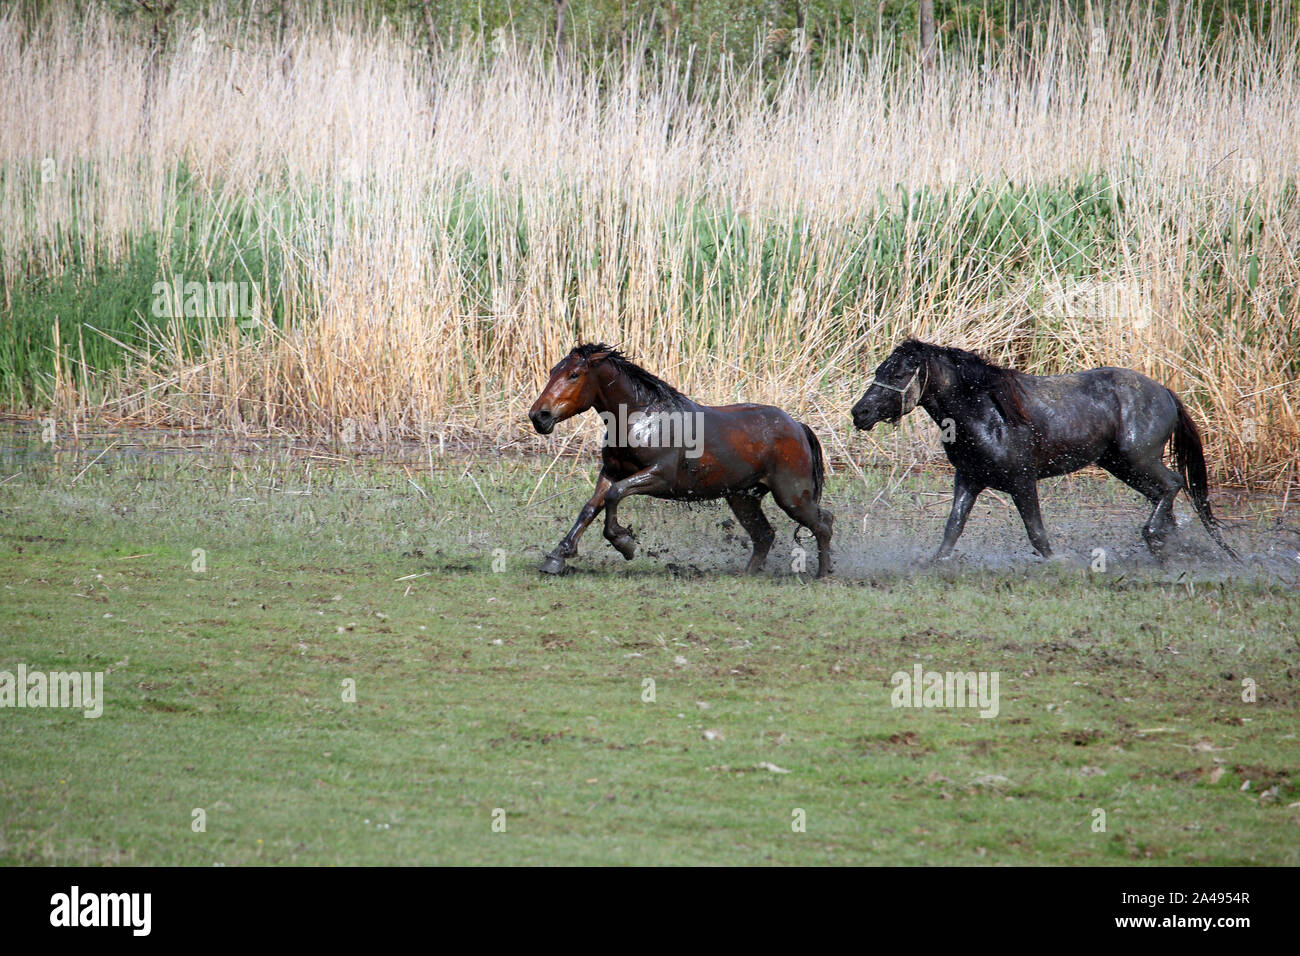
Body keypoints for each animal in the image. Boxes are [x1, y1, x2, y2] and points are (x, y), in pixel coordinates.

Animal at [528, 343, 834, 577]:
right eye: (553, 371)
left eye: (574, 375)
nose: (539, 416)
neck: (642, 419)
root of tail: (797, 426)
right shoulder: (611, 472)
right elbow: (590, 508)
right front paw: (556, 558)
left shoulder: (660, 476)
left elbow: (615, 495)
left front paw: (625, 543)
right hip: (743, 498)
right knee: (765, 535)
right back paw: (748, 575)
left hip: (791, 495)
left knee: (823, 523)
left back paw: (823, 574)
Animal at [850, 339, 1237, 562]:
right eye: (880, 369)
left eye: (898, 374)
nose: (859, 413)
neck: (986, 412)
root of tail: (1166, 393)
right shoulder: (969, 480)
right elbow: (951, 530)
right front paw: (934, 564)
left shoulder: (1022, 481)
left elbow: (1037, 533)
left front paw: (1059, 563)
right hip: (1121, 465)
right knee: (1163, 494)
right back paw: (1166, 547)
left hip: (1137, 458)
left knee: (1173, 485)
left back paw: (1155, 538)